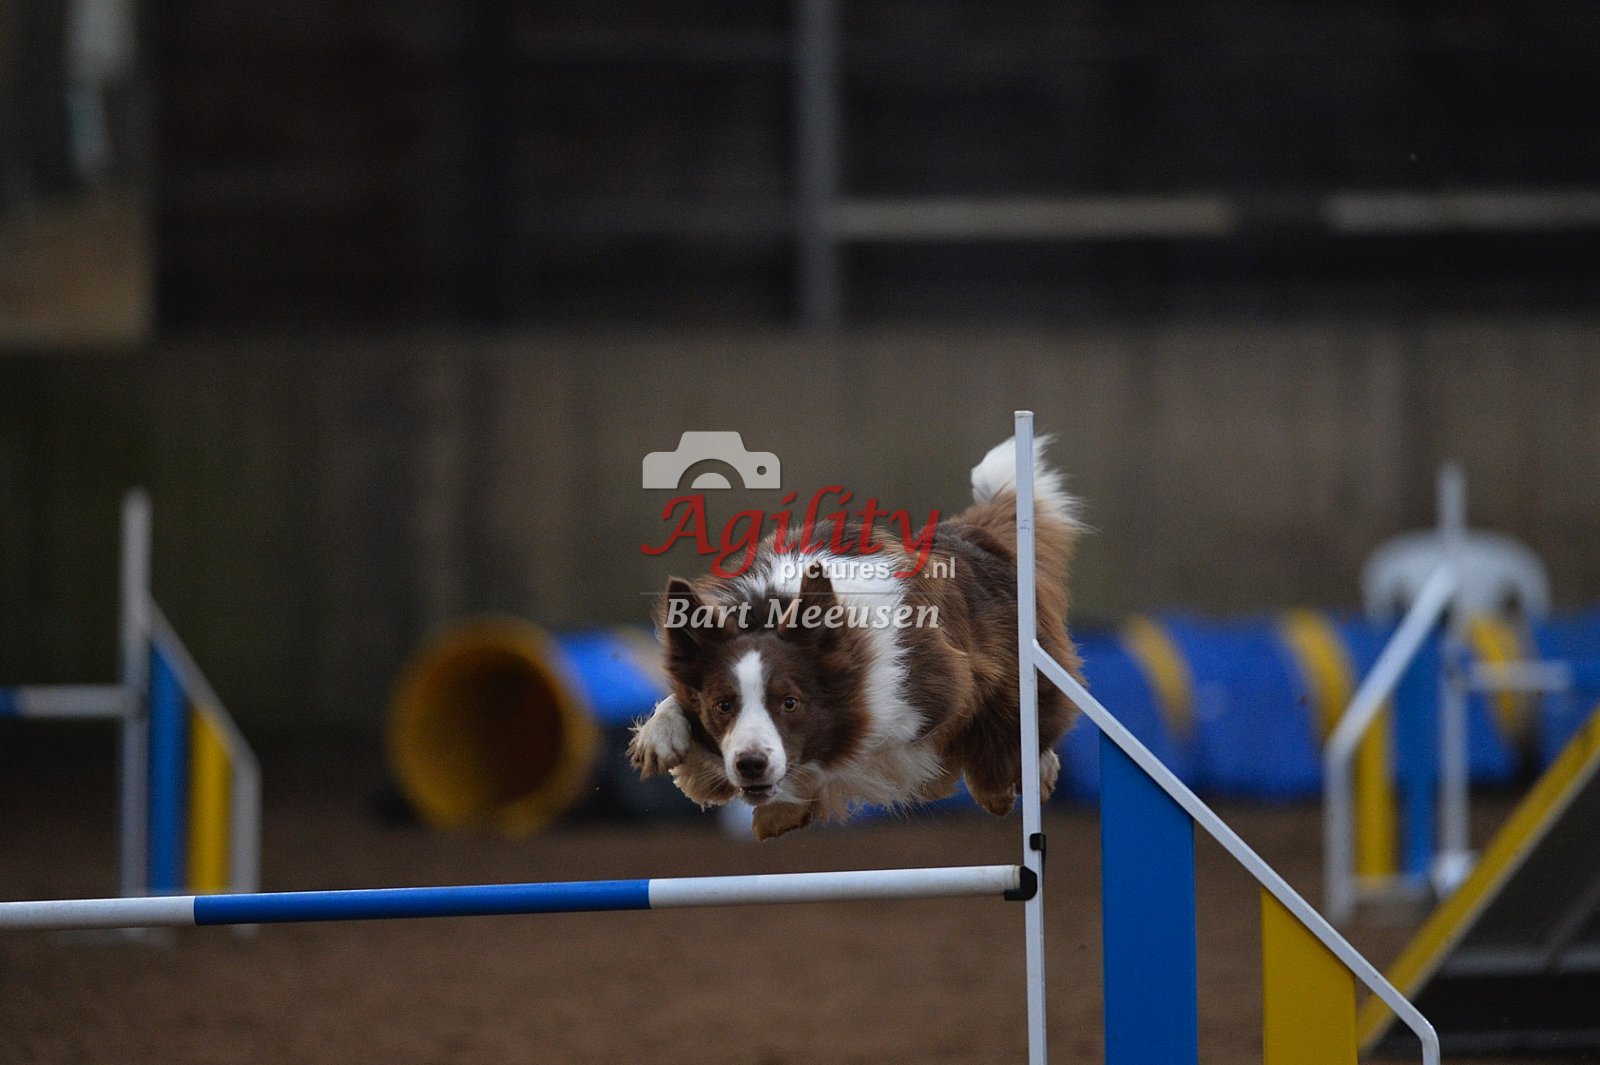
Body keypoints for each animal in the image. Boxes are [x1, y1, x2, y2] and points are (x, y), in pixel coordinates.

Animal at [627, 436, 1083, 839]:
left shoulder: (930, 694)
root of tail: (971, 535)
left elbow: (844, 753)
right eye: (723, 705)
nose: (750, 765)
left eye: (790, 702)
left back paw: (1017, 780)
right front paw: (661, 737)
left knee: (1024, 730)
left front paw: (780, 806)